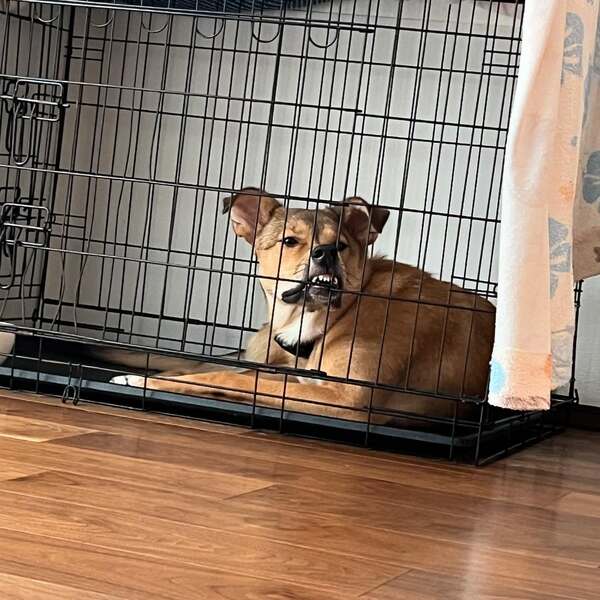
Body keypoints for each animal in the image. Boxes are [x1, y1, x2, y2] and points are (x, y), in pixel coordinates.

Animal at [112, 188, 495, 423]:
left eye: (341, 245)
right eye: (289, 241)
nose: (325, 253)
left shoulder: (346, 395)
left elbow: (233, 378)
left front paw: (145, 382)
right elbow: (227, 373)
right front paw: (155, 375)